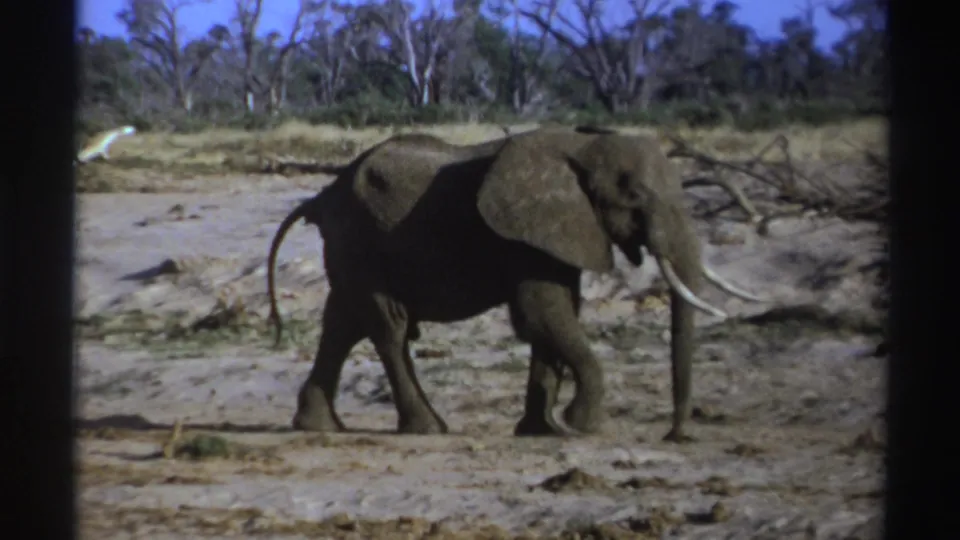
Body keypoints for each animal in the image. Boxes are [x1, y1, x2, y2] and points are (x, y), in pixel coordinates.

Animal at [266, 126, 765, 441]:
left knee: (342, 322)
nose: (675, 436)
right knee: (387, 327)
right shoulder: (526, 234)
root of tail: (321, 195)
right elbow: (541, 313)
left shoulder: (556, 235)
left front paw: (542, 430)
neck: (584, 146)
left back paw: (318, 426)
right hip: (363, 242)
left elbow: (553, 316)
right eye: (635, 197)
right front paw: (580, 425)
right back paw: (428, 428)